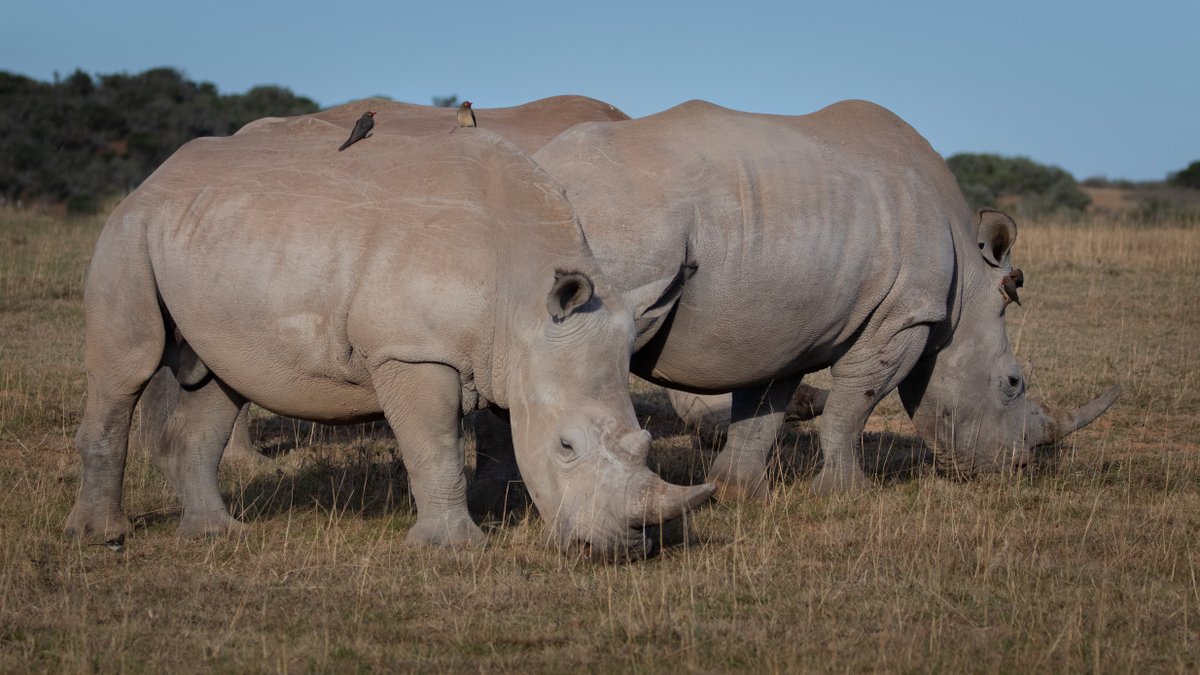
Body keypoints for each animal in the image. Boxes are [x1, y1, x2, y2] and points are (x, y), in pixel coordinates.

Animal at [64, 114, 713, 556]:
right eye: (566, 447)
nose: (630, 548)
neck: (525, 298)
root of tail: (156, 176)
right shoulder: (412, 352)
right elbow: (435, 446)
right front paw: (455, 549)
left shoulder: (510, 354)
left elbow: (490, 435)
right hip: (129, 230)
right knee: (127, 370)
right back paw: (102, 536)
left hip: (215, 239)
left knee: (220, 383)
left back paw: (217, 534)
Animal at [481, 99, 1116, 500]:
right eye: (1012, 383)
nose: (1020, 467)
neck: (965, 295)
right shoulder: (905, 315)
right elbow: (854, 403)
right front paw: (848, 495)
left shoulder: (783, 326)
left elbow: (763, 406)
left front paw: (739, 490)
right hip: (615, 224)